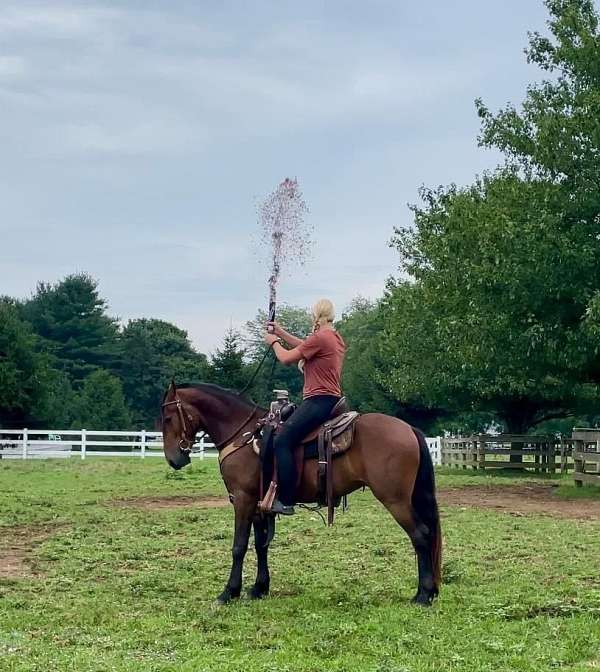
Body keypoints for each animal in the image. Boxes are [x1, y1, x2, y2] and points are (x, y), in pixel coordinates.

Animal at [161, 380, 440, 608]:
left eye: (167, 418)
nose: (174, 459)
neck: (242, 433)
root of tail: (409, 429)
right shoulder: (260, 504)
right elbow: (261, 545)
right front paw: (259, 588)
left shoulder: (243, 499)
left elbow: (239, 546)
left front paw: (229, 592)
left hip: (395, 500)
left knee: (420, 535)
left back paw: (423, 595)